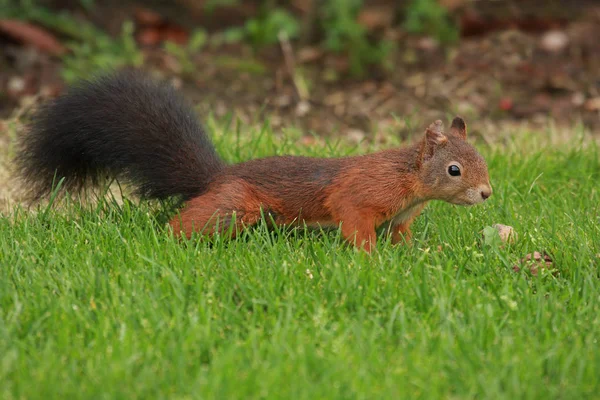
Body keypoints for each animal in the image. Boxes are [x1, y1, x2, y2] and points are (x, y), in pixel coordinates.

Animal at [16, 70, 492, 252]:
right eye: (454, 170)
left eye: (483, 160)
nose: (487, 194)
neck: (410, 180)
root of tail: (216, 177)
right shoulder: (361, 195)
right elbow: (354, 221)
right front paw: (371, 259)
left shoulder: (400, 218)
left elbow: (402, 237)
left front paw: (422, 253)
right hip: (237, 204)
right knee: (188, 221)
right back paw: (171, 240)